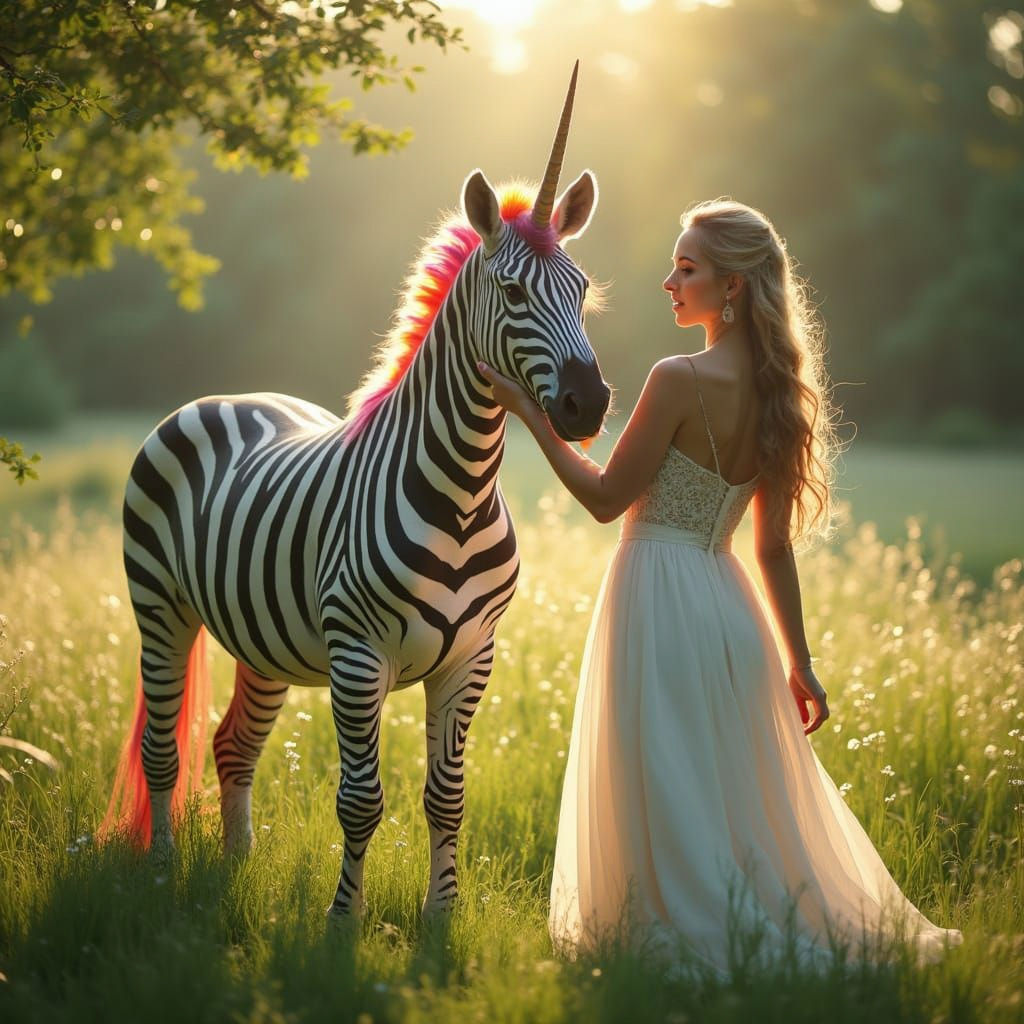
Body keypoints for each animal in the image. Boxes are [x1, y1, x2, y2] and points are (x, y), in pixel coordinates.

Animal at [103, 63, 610, 919]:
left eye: (580, 291)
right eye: (512, 293)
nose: (590, 405)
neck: (462, 493)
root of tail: (226, 397)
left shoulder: (472, 655)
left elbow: (446, 797)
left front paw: (440, 918)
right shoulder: (357, 651)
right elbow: (361, 799)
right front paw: (344, 921)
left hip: (261, 638)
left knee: (232, 745)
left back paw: (235, 865)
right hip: (159, 608)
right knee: (163, 748)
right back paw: (166, 872)